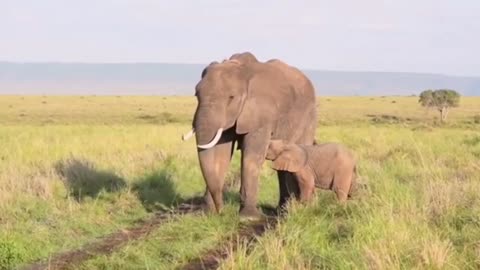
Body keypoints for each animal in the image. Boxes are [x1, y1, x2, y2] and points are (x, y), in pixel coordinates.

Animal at [182, 52, 316, 219]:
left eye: (231, 97)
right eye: (196, 95)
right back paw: (282, 210)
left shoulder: (261, 114)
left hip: (308, 117)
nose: (221, 211)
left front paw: (249, 217)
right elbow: (220, 154)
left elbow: (252, 156)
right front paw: (208, 213)